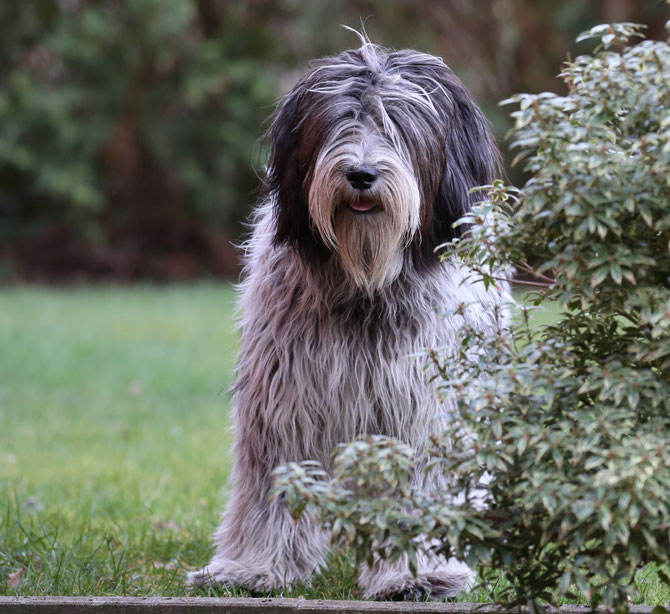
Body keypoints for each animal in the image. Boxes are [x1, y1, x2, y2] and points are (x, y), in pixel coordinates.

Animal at [189, 33, 504, 600]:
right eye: (342, 120)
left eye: (397, 124)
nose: (361, 173)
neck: (367, 283)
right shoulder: (285, 399)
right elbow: (273, 481)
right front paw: (254, 567)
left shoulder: (418, 407)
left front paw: (413, 573)